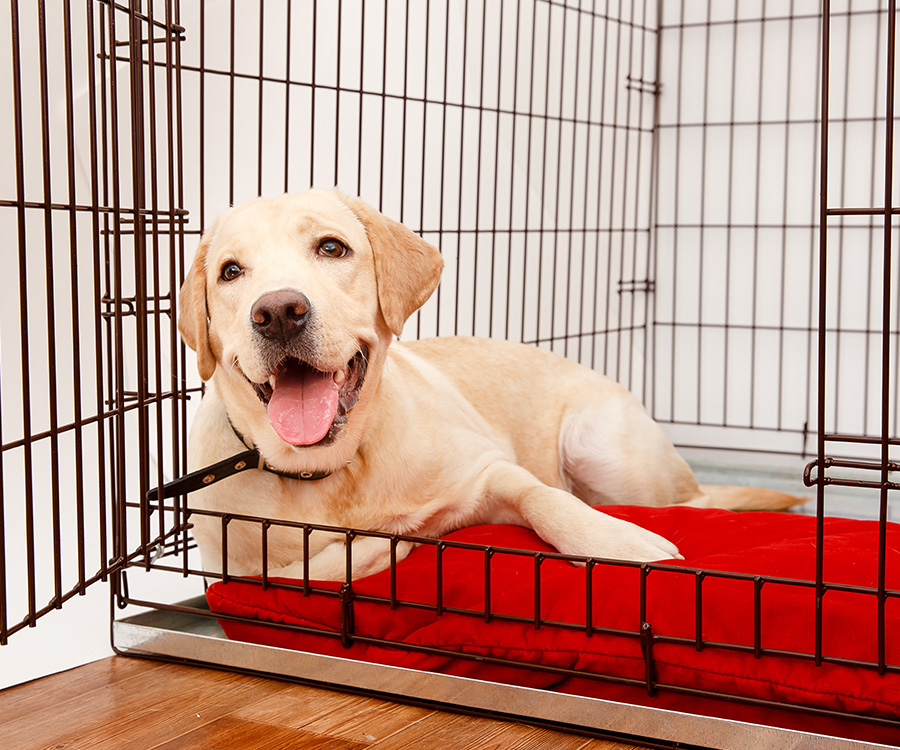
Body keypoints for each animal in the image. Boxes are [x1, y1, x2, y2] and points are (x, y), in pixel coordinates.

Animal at [179, 188, 800, 580]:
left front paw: (616, 543)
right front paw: (383, 545)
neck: (333, 471)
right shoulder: (227, 570)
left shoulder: (489, 471)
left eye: (331, 247)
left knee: (692, 502)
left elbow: (546, 498)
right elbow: (302, 569)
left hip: (599, 446)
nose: (279, 312)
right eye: (231, 271)